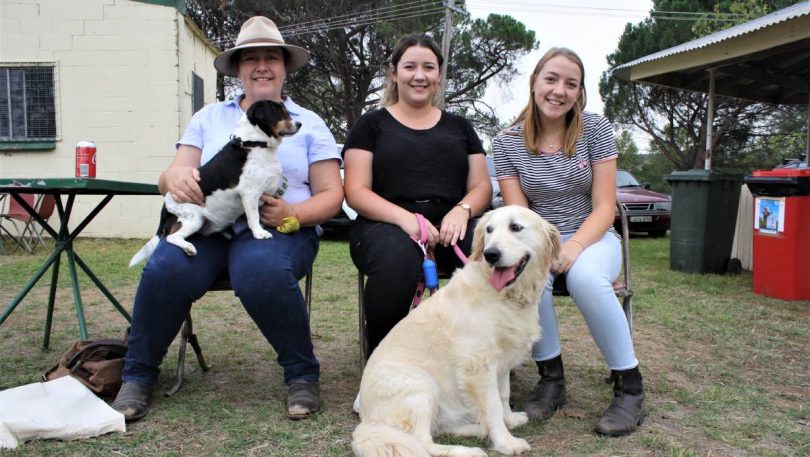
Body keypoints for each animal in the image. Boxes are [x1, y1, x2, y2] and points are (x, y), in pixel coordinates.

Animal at [129, 98, 296, 266]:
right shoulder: (250, 194)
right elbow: (254, 217)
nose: (299, 124)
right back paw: (188, 247)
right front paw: (259, 233)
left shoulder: (266, 195)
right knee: (171, 236)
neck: (254, 143)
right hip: (193, 219)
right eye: (279, 112)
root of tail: (165, 205)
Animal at [350, 206, 560, 456]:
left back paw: (478, 429)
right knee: (423, 442)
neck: (505, 295)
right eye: (489, 230)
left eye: (515, 227)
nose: (490, 254)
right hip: (421, 386)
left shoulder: (501, 361)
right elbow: (493, 407)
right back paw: (469, 450)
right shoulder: (477, 365)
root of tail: (366, 423)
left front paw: (509, 421)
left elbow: (503, 396)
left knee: (439, 428)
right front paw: (506, 442)